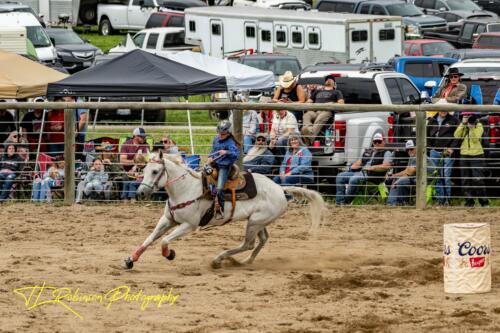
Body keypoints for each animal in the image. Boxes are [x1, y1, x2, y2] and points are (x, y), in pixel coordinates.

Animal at [124, 152, 324, 268]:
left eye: (155, 171)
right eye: (145, 169)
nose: (141, 192)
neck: (186, 189)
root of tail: (281, 189)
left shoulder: (189, 225)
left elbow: (164, 241)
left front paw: (169, 254)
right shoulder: (168, 219)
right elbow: (149, 239)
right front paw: (130, 260)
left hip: (254, 223)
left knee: (248, 244)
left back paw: (219, 259)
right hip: (258, 222)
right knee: (263, 240)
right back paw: (246, 261)